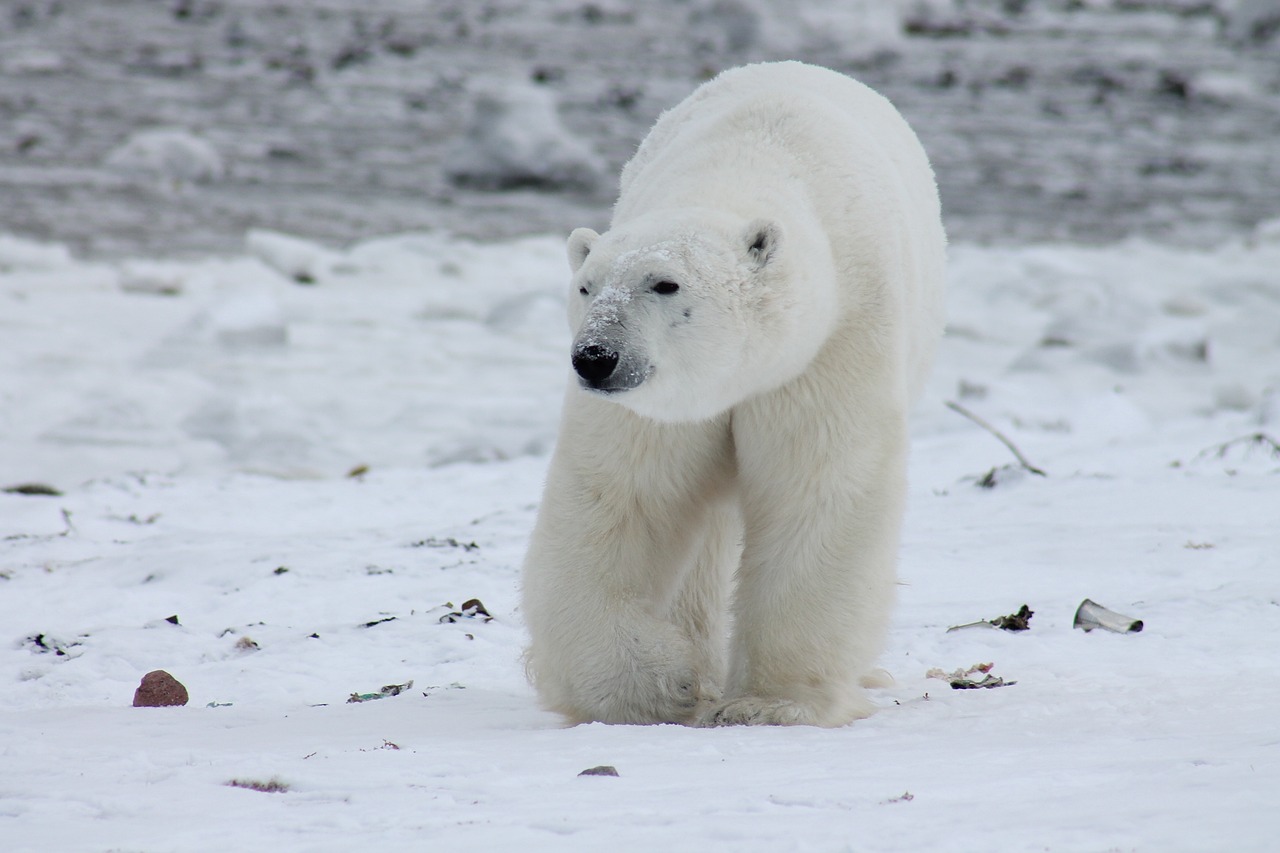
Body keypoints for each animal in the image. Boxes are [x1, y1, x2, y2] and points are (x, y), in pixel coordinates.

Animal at [521, 61, 946, 727]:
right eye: (586, 287)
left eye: (664, 284)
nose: (595, 358)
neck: (744, 165)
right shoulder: (661, 406)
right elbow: (621, 498)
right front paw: (656, 685)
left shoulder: (832, 343)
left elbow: (818, 489)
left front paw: (770, 703)